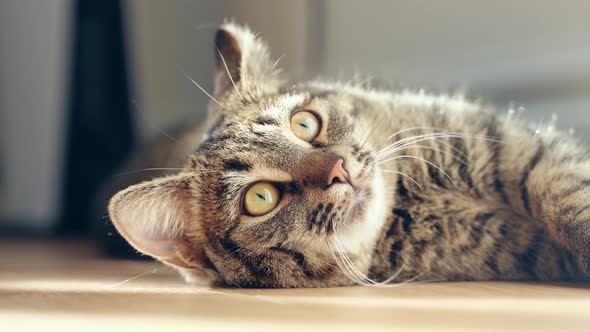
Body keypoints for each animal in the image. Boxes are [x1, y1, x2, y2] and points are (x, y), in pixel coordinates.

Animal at [108, 22, 590, 288]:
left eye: (304, 123)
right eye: (259, 198)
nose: (338, 170)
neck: (415, 199)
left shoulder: (521, 148)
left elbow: (568, 198)